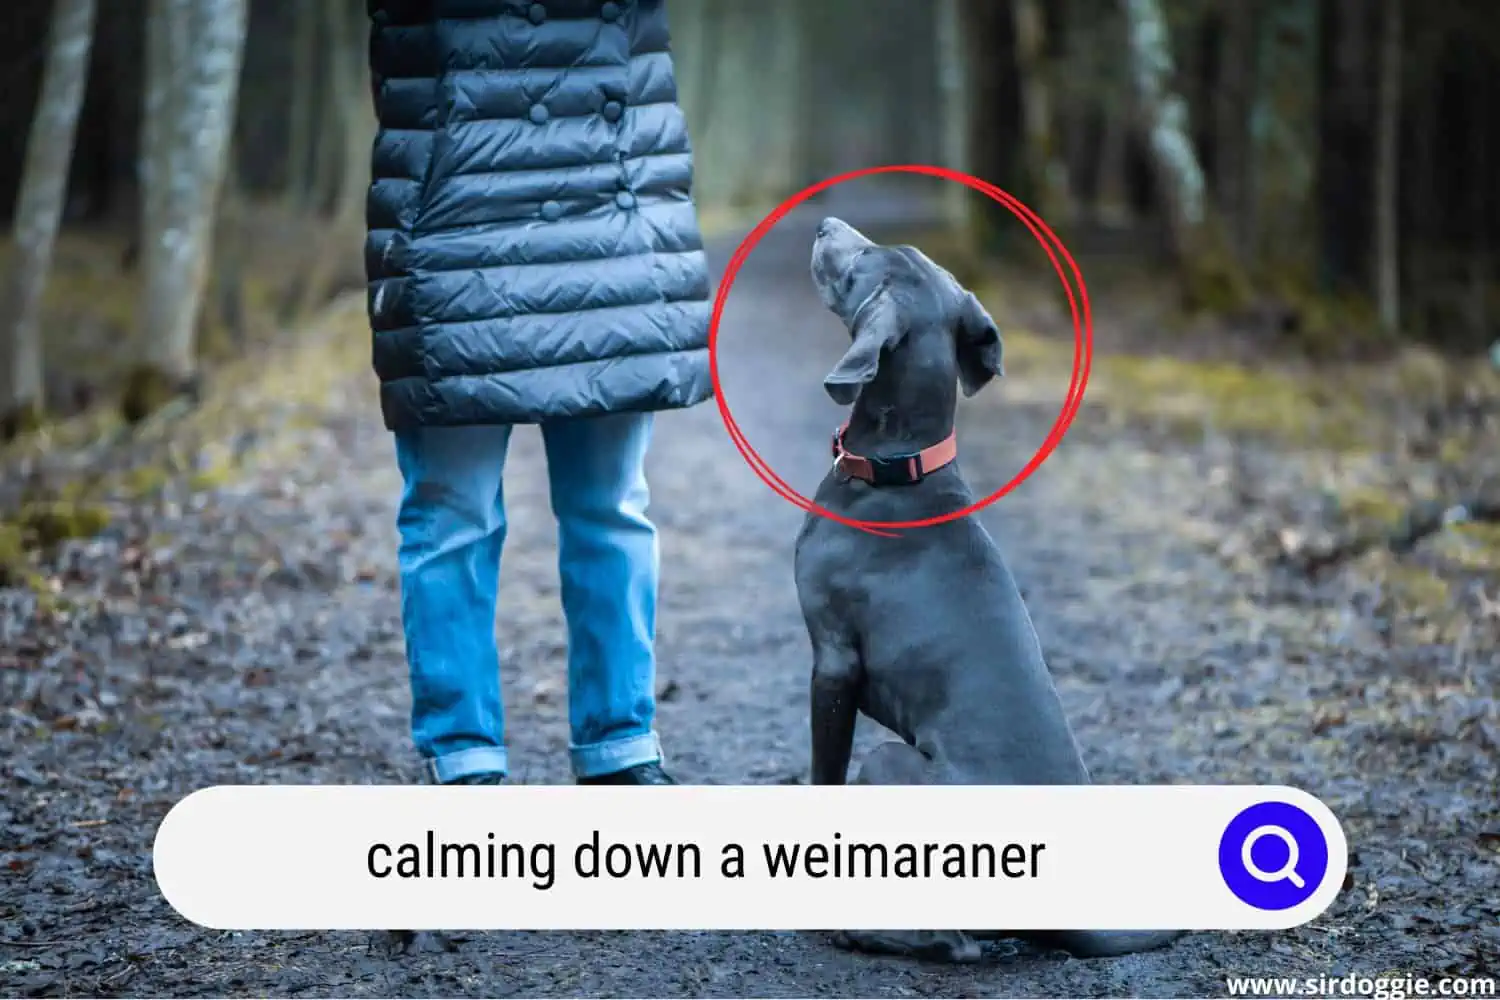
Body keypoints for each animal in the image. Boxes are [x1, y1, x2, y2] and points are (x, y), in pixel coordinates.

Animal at [798, 217, 1182, 959]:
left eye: (865, 259)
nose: (825, 223)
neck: (900, 468)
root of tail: (1071, 915)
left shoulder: (832, 660)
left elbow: (821, 777)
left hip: (890, 763)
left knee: (956, 942)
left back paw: (859, 931)